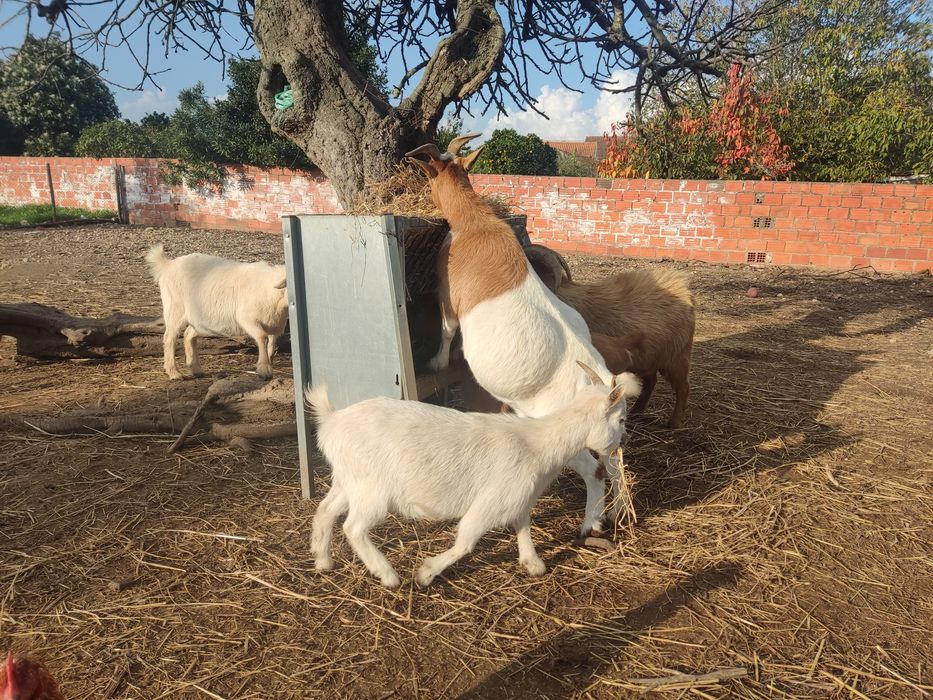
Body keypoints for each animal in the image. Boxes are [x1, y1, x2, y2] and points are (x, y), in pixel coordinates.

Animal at [145, 244, 288, 380]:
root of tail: (167, 265)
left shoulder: (274, 324)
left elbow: (271, 346)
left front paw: (269, 363)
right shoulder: (247, 319)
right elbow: (263, 338)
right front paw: (264, 370)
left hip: (201, 320)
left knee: (188, 335)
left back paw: (196, 369)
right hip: (175, 308)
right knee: (169, 337)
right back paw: (174, 373)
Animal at [307, 363, 641, 588]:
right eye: (621, 419)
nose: (623, 441)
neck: (537, 443)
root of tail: (332, 421)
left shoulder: (515, 497)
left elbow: (522, 525)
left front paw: (533, 563)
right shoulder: (489, 504)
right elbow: (466, 540)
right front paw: (426, 573)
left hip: (349, 480)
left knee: (325, 511)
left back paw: (323, 560)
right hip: (372, 489)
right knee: (353, 527)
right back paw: (388, 574)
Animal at [406, 134, 632, 535]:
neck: (477, 222)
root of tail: (606, 393)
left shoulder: (448, 294)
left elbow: (448, 330)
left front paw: (437, 362)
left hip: (567, 437)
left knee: (595, 471)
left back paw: (590, 525)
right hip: (608, 434)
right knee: (615, 459)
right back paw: (617, 512)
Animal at [525, 244, 695, 428]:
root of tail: (682, 286)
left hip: (676, 357)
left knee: (683, 388)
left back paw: (674, 423)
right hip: (647, 360)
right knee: (651, 381)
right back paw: (636, 411)